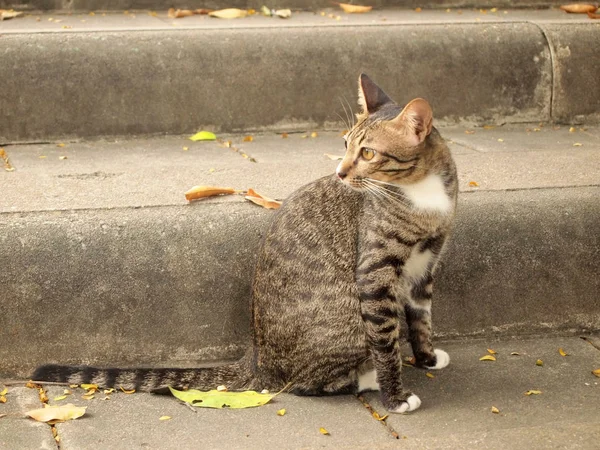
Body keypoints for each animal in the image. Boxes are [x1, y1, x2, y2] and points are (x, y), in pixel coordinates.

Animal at [34, 74, 460, 414]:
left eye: (368, 152)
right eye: (344, 146)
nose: (340, 172)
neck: (424, 195)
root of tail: (257, 358)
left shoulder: (425, 267)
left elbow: (422, 318)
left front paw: (426, 357)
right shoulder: (374, 274)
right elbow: (387, 343)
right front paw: (395, 395)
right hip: (346, 322)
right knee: (305, 383)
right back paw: (363, 379)